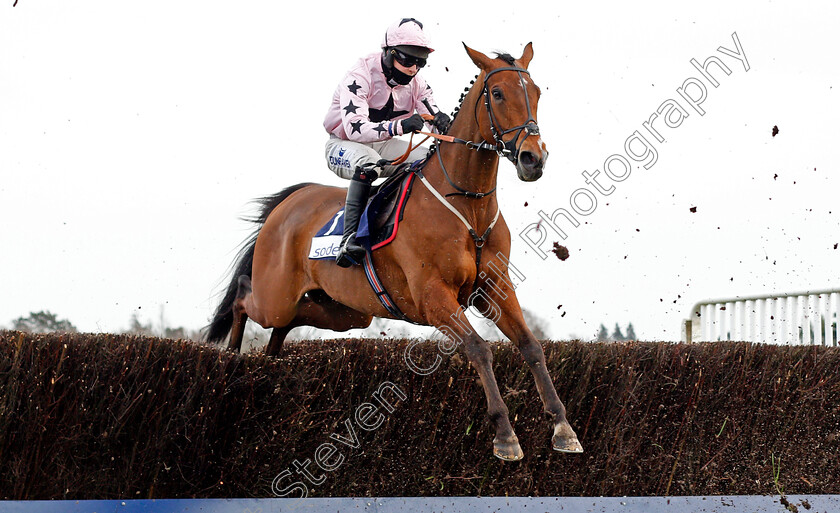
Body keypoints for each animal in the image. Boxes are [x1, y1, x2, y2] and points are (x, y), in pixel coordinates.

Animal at [207, 43, 580, 460]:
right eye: (497, 94)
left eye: (537, 93)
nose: (534, 158)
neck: (468, 207)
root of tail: (291, 201)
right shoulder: (433, 296)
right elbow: (479, 348)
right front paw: (505, 435)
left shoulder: (495, 287)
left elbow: (531, 346)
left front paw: (563, 427)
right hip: (277, 296)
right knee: (245, 297)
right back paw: (232, 357)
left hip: (345, 311)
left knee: (287, 323)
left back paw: (269, 358)